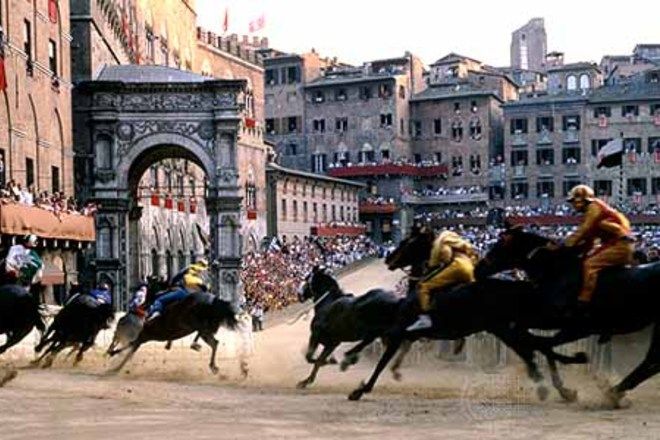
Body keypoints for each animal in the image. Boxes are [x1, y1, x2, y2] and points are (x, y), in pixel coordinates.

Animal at [348, 227, 584, 402]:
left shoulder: (401, 329)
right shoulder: (409, 332)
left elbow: (382, 358)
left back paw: (555, 381)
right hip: (508, 328)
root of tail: (522, 286)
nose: (388, 258)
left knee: (534, 349)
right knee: (538, 347)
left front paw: (359, 388)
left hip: (504, 329)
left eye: (407, 242)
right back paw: (563, 386)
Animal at [474, 227, 660, 410]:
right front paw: (561, 386)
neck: (558, 272)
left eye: (500, 245)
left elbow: (542, 344)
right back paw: (616, 391)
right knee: (651, 360)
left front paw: (566, 379)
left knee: (653, 359)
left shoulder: (578, 327)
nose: (477, 269)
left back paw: (613, 392)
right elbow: (531, 338)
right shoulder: (551, 321)